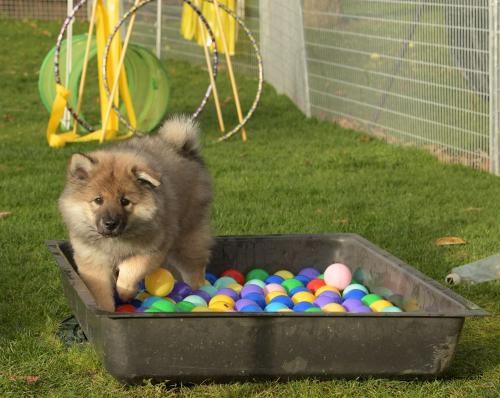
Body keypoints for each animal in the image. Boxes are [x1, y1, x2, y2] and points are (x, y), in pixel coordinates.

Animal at [58, 115, 213, 310]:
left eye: (125, 201)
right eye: (98, 200)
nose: (110, 223)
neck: (115, 241)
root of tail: (180, 147)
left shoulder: (152, 249)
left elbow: (131, 269)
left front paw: (126, 292)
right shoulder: (93, 262)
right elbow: (101, 294)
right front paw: (105, 311)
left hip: (187, 238)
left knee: (195, 269)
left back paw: (199, 291)